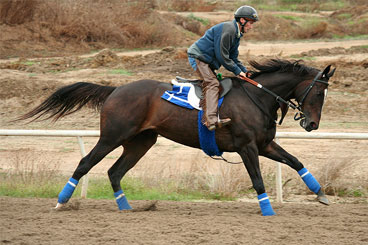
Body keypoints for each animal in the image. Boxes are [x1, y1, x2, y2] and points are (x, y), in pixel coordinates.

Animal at [18, 58, 336, 215]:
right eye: (319, 93)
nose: (312, 124)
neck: (257, 96)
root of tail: (115, 89)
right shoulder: (247, 147)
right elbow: (257, 179)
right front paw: (267, 210)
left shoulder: (265, 144)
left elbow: (296, 162)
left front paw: (321, 194)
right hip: (112, 137)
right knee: (85, 163)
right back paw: (61, 202)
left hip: (141, 142)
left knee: (114, 171)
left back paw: (126, 207)